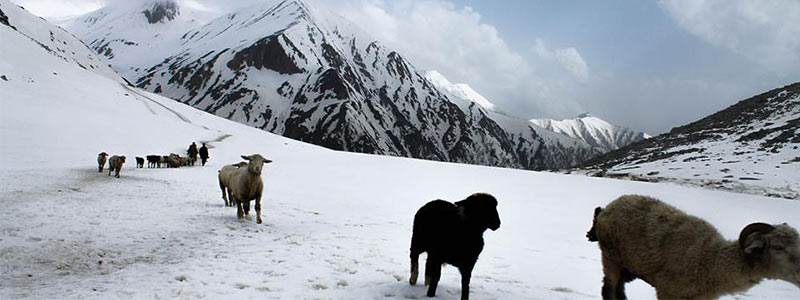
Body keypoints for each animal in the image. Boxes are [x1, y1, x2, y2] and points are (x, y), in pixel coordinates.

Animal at [588, 196, 800, 298]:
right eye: (778, 247)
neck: (710, 261)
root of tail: (610, 205)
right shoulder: (667, 292)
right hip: (611, 258)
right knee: (609, 290)